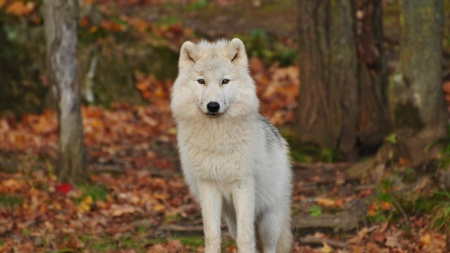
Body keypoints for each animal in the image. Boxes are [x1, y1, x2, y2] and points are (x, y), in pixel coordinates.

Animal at [171, 38, 294, 253]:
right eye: (201, 81)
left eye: (225, 81)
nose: (213, 106)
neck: (217, 140)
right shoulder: (208, 186)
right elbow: (212, 235)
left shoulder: (242, 185)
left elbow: (246, 238)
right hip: (231, 218)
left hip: (268, 220)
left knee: (269, 245)